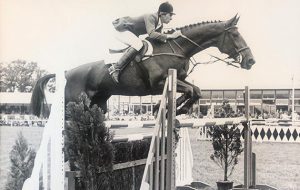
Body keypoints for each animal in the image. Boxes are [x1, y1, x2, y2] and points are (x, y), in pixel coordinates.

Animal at [31, 15, 255, 117]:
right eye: (235, 35)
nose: (251, 61)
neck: (177, 48)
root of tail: (67, 72)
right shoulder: (158, 83)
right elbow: (191, 90)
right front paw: (168, 108)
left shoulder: (178, 79)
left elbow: (196, 91)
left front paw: (171, 109)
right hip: (73, 103)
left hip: (99, 104)